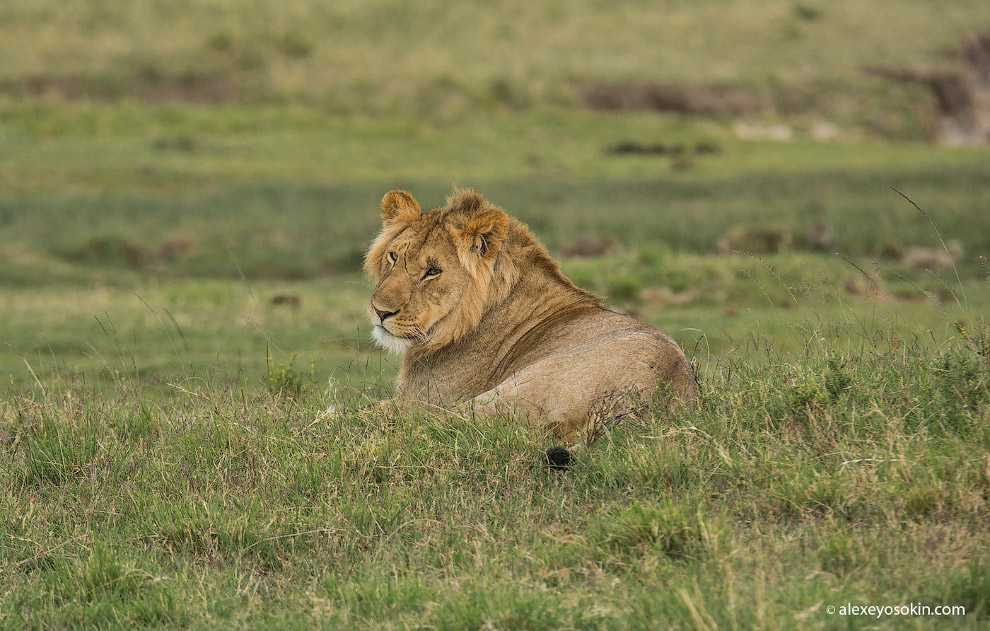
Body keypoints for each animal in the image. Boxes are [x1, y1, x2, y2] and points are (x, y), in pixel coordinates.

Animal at [364, 190, 696, 462]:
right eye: (393, 256)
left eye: (433, 271)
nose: (380, 312)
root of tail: (650, 398)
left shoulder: (423, 398)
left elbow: (362, 411)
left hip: (502, 394)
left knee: (423, 427)